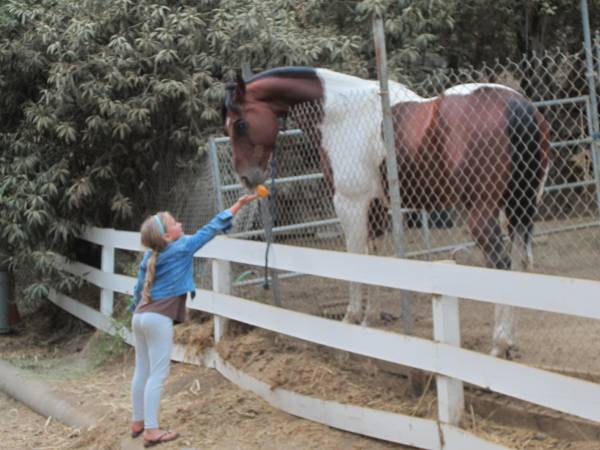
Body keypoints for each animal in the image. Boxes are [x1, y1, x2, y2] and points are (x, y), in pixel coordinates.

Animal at [223, 66, 552, 358]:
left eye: (240, 124)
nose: (247, 178)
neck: (341, 114)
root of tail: (517, 106)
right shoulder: (377, 206)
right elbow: (376, 257)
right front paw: (370, 319)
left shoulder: (350, 203)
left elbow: (356, 259)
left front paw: (351, 319)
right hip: (518, 208)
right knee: (520, 262)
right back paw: (510, 342)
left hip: (482, 212)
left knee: (500, 264)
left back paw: (498, 344)